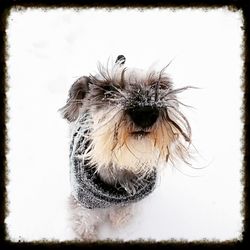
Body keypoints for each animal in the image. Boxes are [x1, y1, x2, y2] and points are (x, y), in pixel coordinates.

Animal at [59, 55, 192, 240]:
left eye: (160, 85)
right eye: (108, 88)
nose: (145, 113)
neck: (122, 163)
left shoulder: (131, 201)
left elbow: (123, 214)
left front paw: (119, 224)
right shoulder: (82, 203)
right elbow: (83, 223)